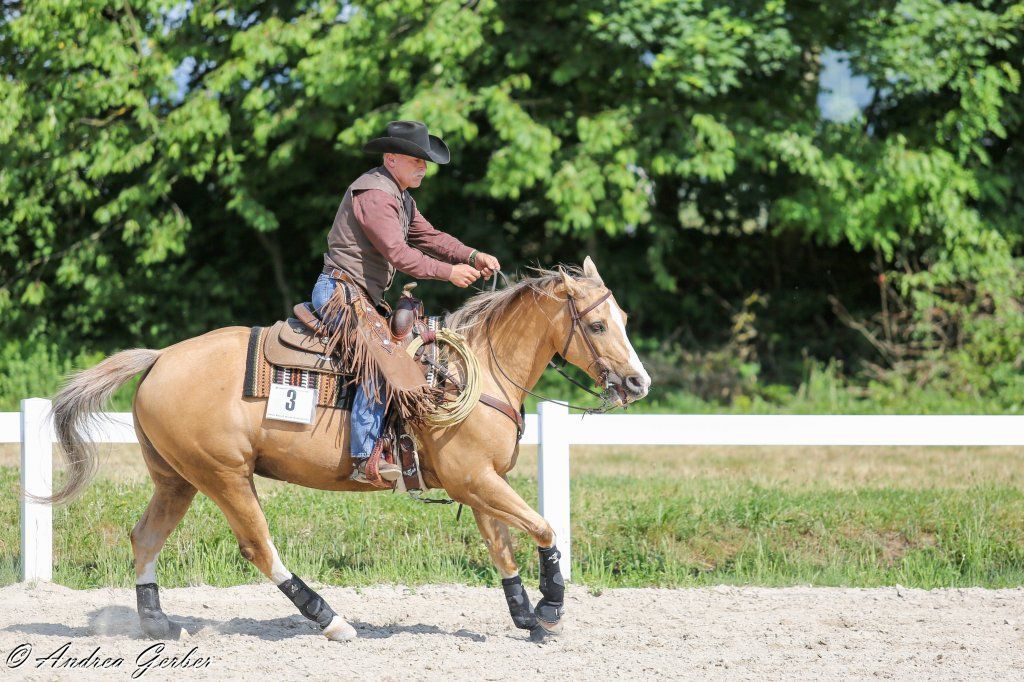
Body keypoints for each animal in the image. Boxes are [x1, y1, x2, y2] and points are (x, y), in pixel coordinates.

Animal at [43, 257, 651, 641]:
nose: (639, 383)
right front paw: (551, 606)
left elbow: (502, 548)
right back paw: (331, 620)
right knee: (258, 548)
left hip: (178, 479)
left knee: (146, 536)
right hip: (224, 476)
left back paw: (156, 623)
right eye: (598, 325)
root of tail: (161, 357)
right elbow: (544, 527)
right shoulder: (474, 479)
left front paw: (526, 617)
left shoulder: (481, 485)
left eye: (623, 318)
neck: (467, 372)